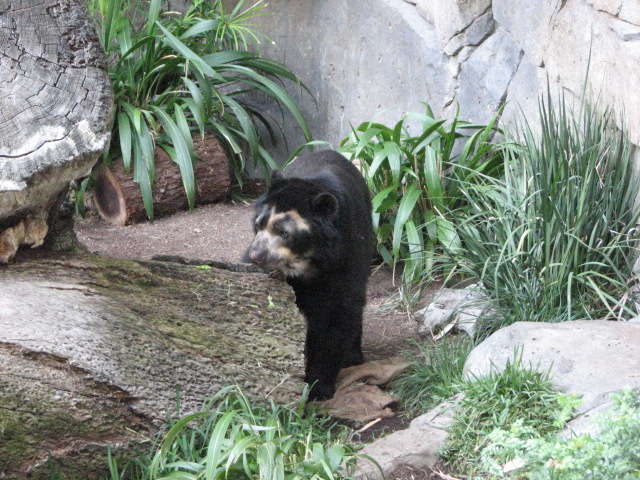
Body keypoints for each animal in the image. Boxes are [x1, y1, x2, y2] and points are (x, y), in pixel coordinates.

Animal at [244, 149, 374, 401]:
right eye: (259, 224)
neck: (308, 262)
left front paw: (318, 387)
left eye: (284, 232)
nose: (256, 255)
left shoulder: (345, 257)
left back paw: (354, 357)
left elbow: (336, 317)